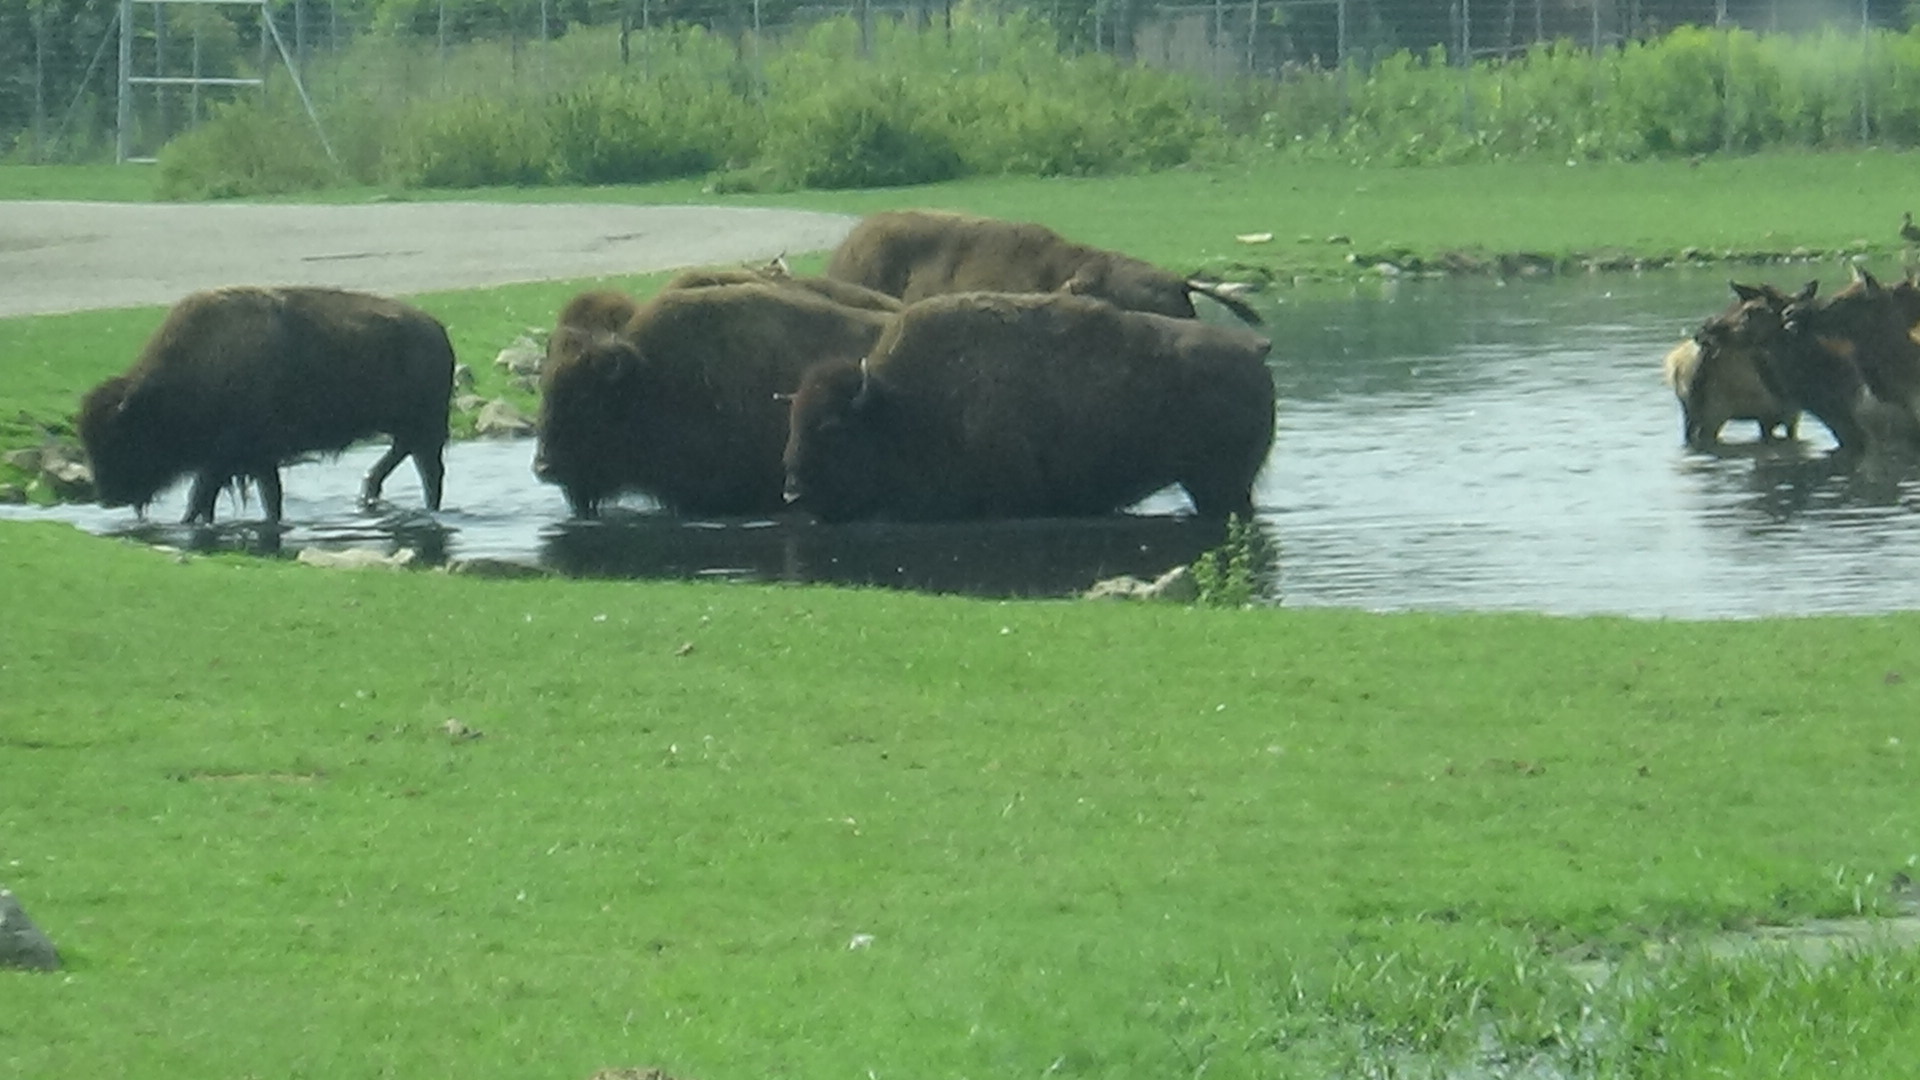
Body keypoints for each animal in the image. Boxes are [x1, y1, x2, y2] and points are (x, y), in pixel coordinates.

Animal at [78, 285, 455, 523]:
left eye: (120, 438)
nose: (106, 496)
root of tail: (437, 330)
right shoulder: (248, 461)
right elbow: (255, 497)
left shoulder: (233, 458)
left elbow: (206, 497)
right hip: (410, 429)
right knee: (400, 457)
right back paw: (370, 494)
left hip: (427, 430)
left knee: (429, 473)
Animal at [781, 291, 1276, 523]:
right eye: (794, 421)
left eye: (831, 428)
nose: (792, 492)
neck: (900, 406)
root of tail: (1253, 349)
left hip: (1220, 485)